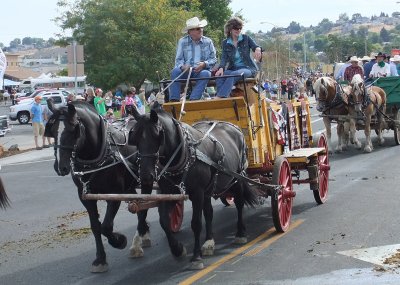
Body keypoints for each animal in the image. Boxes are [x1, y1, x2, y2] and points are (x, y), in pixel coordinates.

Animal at [45, 100, 152, 270]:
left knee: (143, 208)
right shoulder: (85, 196)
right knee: (139, 207)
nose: (60, 167)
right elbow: (95, 226)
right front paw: (100, 259)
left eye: (73, 130)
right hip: (129, 186)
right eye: (53, 130)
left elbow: (106, 226)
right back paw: (144, 234)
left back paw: (138, 241)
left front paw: (119, 241)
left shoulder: (115, 194)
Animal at [129, 103, 260, 268]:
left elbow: (196, 223)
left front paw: (196, 257)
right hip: (209, 189)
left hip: (237, 178)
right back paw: (209, 242)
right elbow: (164, 221)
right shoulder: (169, 192)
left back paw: (240, 233)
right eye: (134, 137)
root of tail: (233, 127)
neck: (183, 154)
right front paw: (178, 249)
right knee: (209, 211)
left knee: (239, 203)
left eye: (157, 135)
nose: (146, 176)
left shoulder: (197, 193)